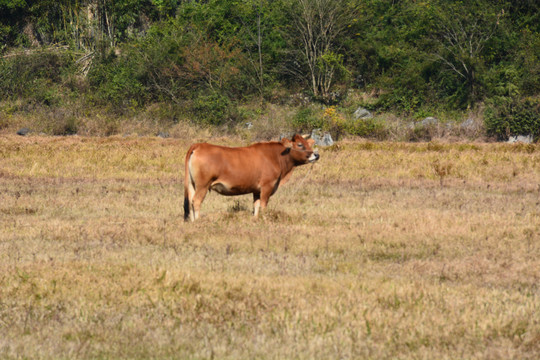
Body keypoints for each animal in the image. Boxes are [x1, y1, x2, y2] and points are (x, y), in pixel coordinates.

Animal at [184, 134, 318, 221]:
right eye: (300, 144)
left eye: (308, 144)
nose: (316, 155)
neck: (275, 156)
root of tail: (199, 145)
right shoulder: (267, 187)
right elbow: (263, 205)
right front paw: (265, 219)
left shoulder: (256, 190)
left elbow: (256, 205)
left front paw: (256, 219)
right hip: (203, 185)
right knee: (196, 201)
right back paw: (198, 220)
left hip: (192, 185)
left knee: (190, 200)